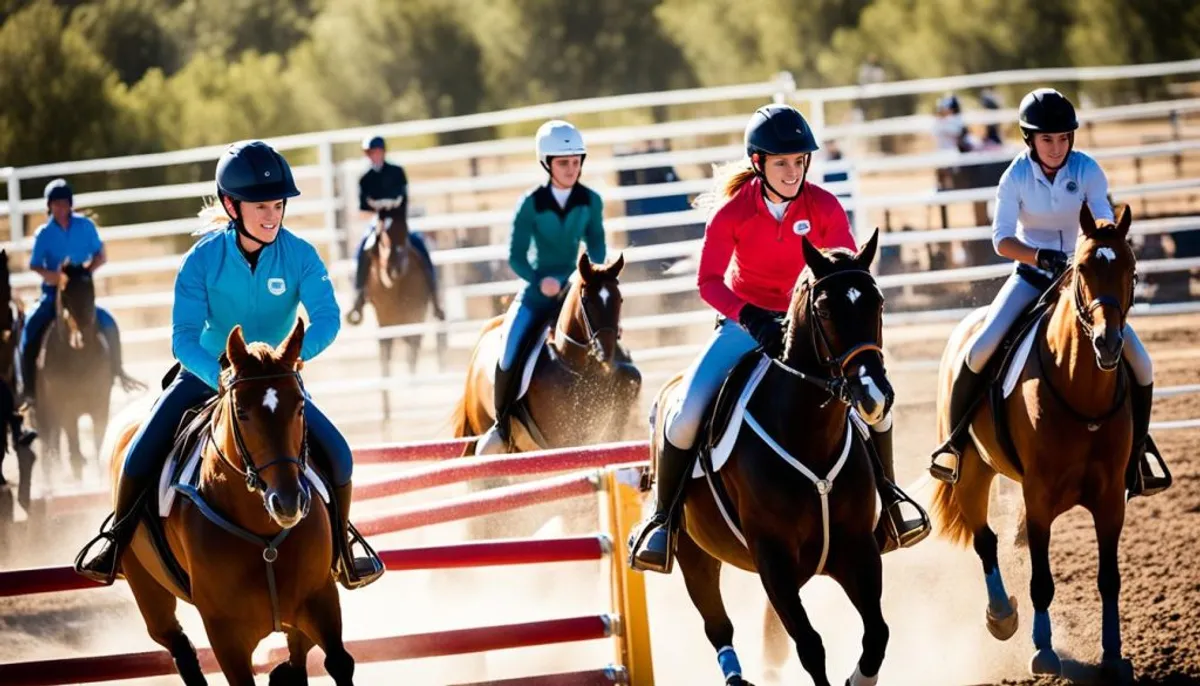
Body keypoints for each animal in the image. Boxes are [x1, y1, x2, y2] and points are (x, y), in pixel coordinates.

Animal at [36, 260, 112, 479]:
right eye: (64, 293)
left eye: (92, 291)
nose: (81, 337)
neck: (79, 361)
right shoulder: (67, 409)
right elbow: (75, 452)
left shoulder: (101, 406)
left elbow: (99, 446)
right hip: (45, 411)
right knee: (49, 445)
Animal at [107, 323, 352, 686]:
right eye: (242, 412)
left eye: (299, 407)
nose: (288, 502)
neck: (264, 535)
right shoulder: (226, 634)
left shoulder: (319, 600)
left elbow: (331, 661)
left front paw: (284, 673)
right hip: (148, 592)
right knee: (179, 646)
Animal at [357, 196, 451, 417]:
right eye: (382, 234)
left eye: (405, 229)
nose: (394, 267)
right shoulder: (383, 322)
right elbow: (386, 358)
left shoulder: (416, 317)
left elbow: (412, 358)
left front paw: (412, 397)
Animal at [931, 203, 1137, 681]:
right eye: (1083, 268)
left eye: (1131, 269)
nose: (1108, 343)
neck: (1080, 389)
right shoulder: (1040, 496)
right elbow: (1041, 580)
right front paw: (1043, 651)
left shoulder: (1110, 501)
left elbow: (1110, 579)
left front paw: (1114, 654)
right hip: (971, 473)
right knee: (985, 540)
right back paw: (1002, 616)